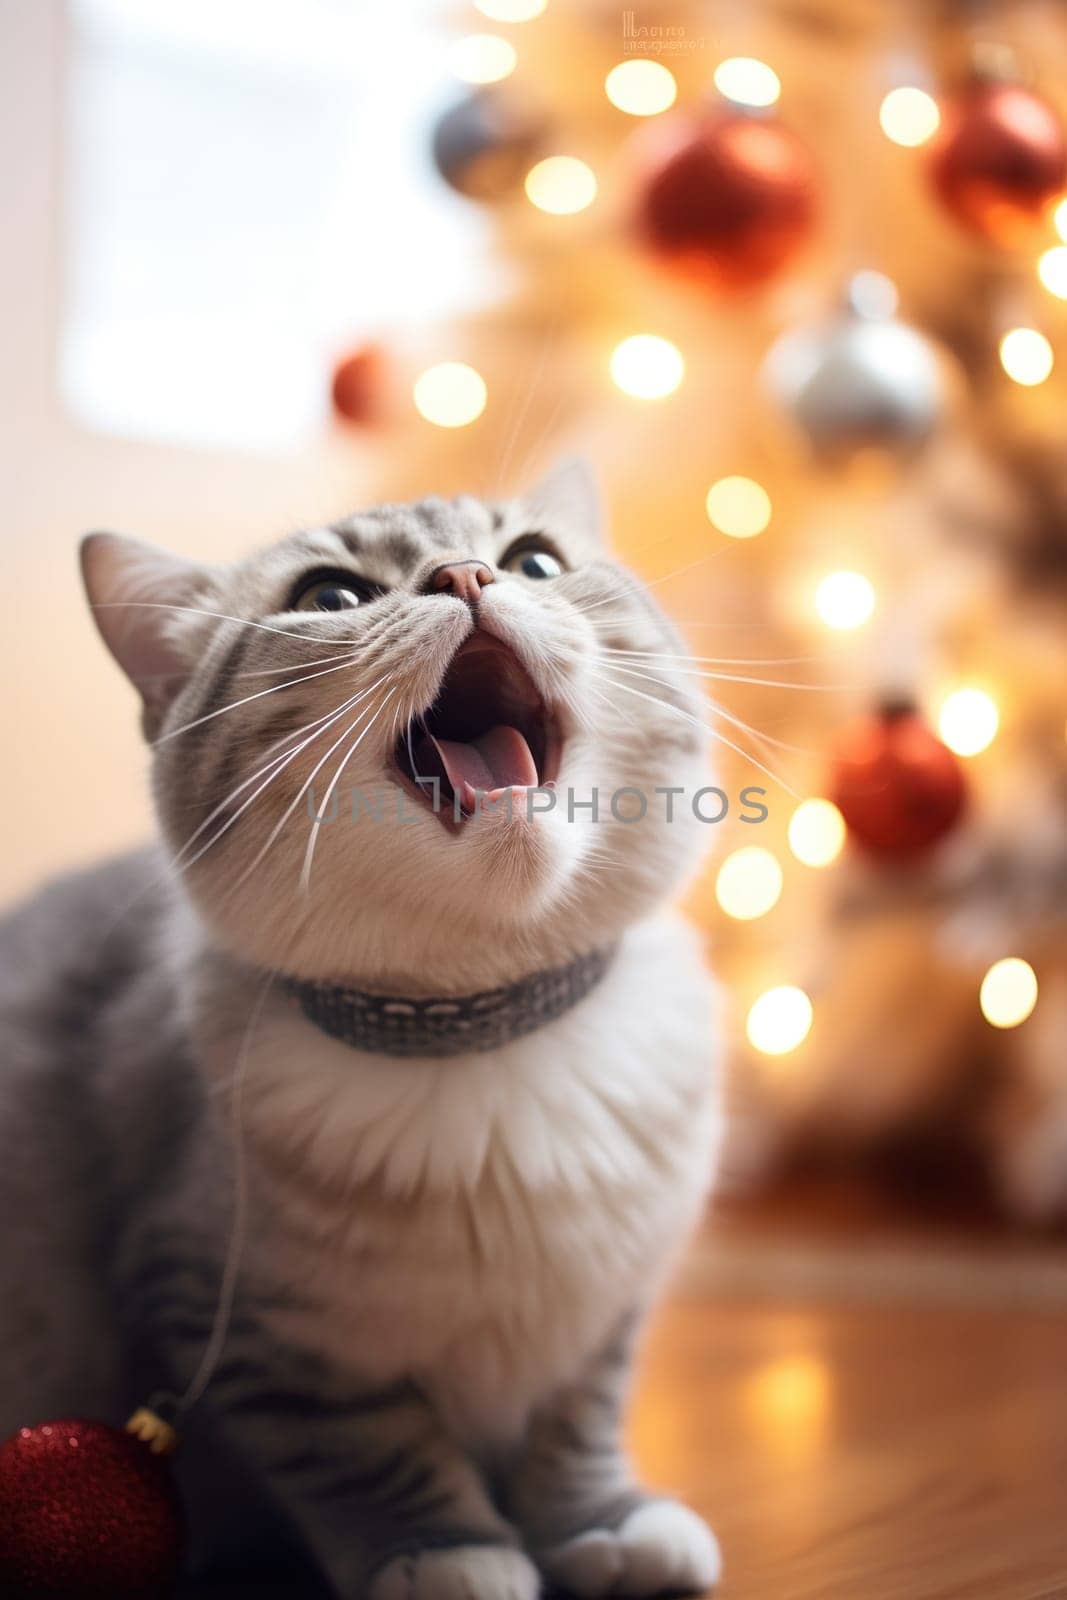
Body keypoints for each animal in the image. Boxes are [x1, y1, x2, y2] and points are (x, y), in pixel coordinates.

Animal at [0, 464, 726, 1600]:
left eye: (532, 563)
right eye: (332, 596)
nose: (466, 576)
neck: (484, 1033)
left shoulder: (605, 1301)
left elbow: (577, 1418)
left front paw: (603, 1521)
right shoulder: (235, 1319)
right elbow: (364, 1447)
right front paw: (444, 1550)